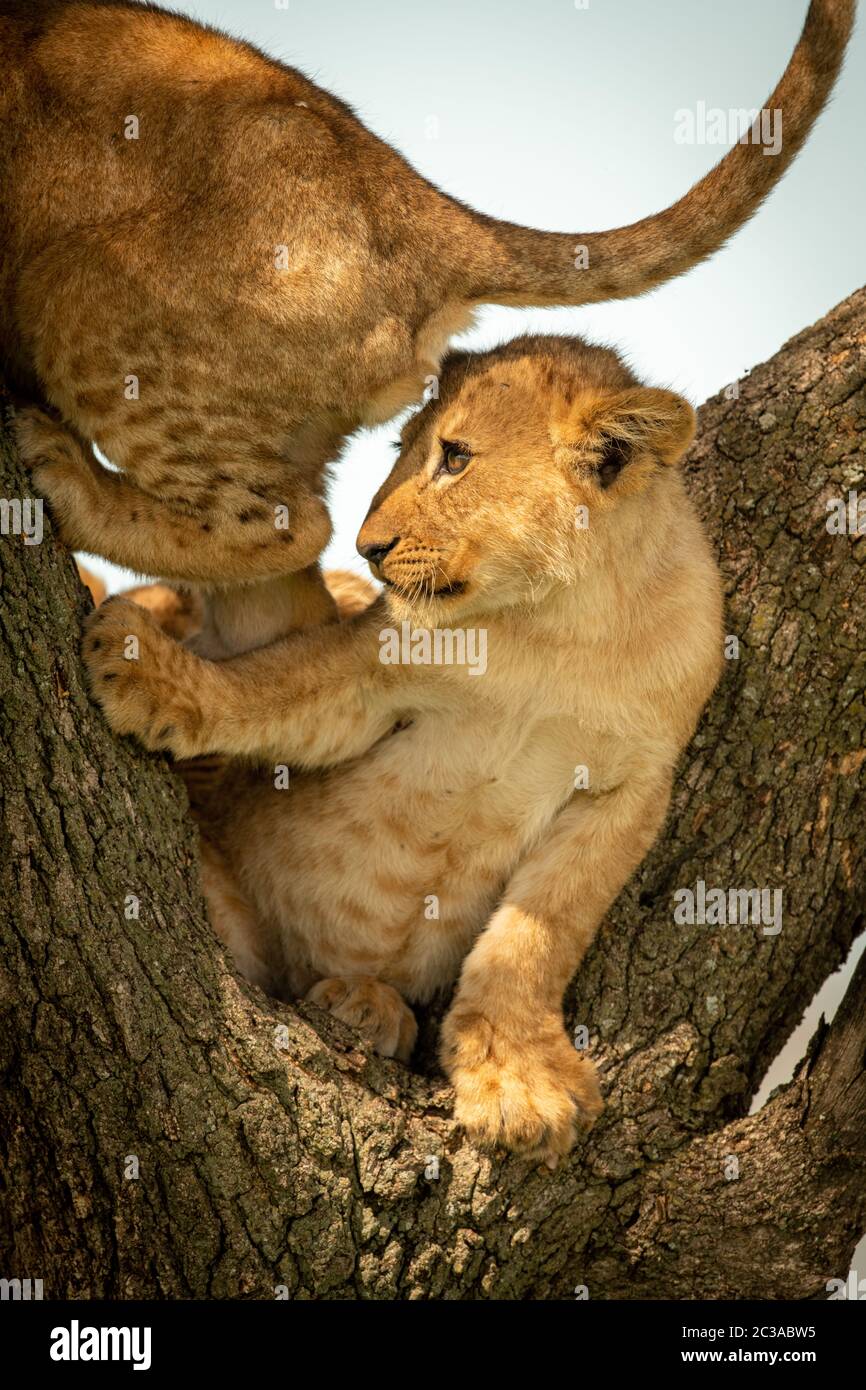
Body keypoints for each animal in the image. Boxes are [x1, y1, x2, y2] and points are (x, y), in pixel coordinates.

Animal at [81, 334, 724, 1163]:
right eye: (402, 447)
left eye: (454, 457)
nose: (366, 547)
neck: (557, 625)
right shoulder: (375, 673)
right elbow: (269, 687)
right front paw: (142, 673)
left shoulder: (632, 789)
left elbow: (539, 933)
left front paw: (517, 1082)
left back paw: (372, 1005)